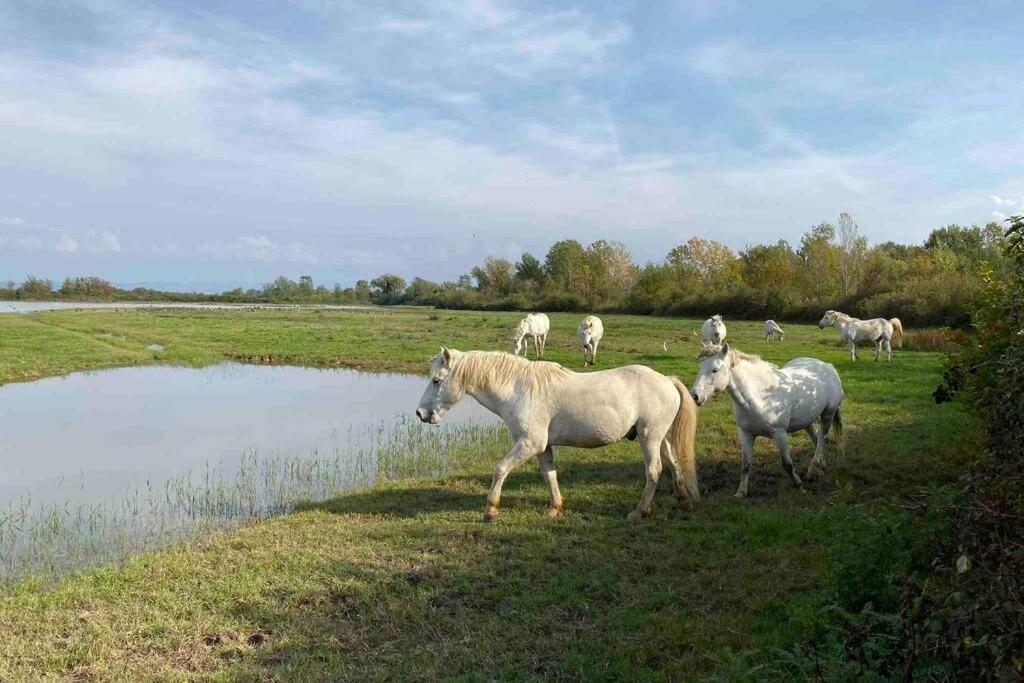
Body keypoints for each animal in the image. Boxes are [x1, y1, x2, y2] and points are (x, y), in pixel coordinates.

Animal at [417, 350, 704, 520]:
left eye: (436, 380)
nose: (421, 413)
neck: (518, 390)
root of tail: (667, 379)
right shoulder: (542, 447)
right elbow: (550, 475)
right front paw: (555, 507)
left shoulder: (528, 444)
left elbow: (500, 469)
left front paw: (491, 509)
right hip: (660, 438)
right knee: (673, 463)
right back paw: (684, 501)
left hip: (649, 438)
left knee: (654, 470)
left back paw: (639, 511)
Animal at [692, 342, 843, 497]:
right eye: (700, 367)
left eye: (715, 369)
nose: (695, 396)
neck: (761, 395)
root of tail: (827, 366)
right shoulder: (746, 434)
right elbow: (745, 464)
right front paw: (741, 492)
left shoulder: (780, 434)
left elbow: (787, 464)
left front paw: (799, 486)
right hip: (807, 420)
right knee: (816, 437)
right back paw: (820, 465)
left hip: (828, 413)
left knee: (822, 437)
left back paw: (813, 468)